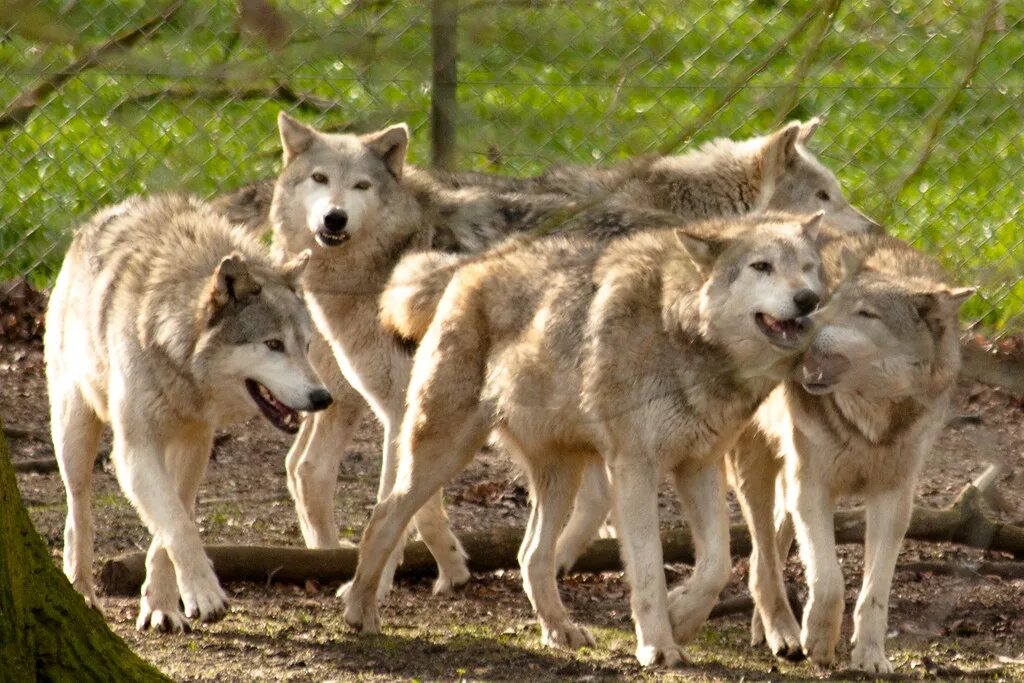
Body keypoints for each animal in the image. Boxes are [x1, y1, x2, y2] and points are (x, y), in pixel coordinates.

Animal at [46, 194, 329, 634]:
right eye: (273, 344)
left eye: (307, 345)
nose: (322, 397)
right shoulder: (134, 451)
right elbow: (177, 524)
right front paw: (205, 593)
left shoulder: (196, 444)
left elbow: (172, 523)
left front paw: (162, 606)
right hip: (74, 431)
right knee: (78, 510)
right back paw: (81, 592)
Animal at [237, 112, 872, 593]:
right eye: (321, 180)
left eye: (361, 187)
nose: (872, 229)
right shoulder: (411, 408)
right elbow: (412, 503)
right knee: (307, 468)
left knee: (306, 468)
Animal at [344, 214, 823, 667]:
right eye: (761, 266)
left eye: (807, 268)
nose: (809, 300)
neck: (682, 332)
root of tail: (469, 266)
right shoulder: (634, 469)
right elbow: (649, 568)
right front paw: (658, 646)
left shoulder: (699, 467)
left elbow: (716, 567)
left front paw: (680, 620)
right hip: (444, 452)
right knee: (383, 517)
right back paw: (359, 610)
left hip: (561, 475)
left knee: (530, 556)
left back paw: (561, 630)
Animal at [724, 231, 970, 671]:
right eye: (830, 301)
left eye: (866, 314)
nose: (800, 322)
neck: (869, 424)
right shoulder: (813, 489)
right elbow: (829, 581)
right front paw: (819, 641)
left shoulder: (894, 499)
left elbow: (874, 593)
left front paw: (870, 657)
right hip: (756, 473)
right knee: (761, 563)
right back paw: (784, 634)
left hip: (786, 488)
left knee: (770, 551)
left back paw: (765, 630)